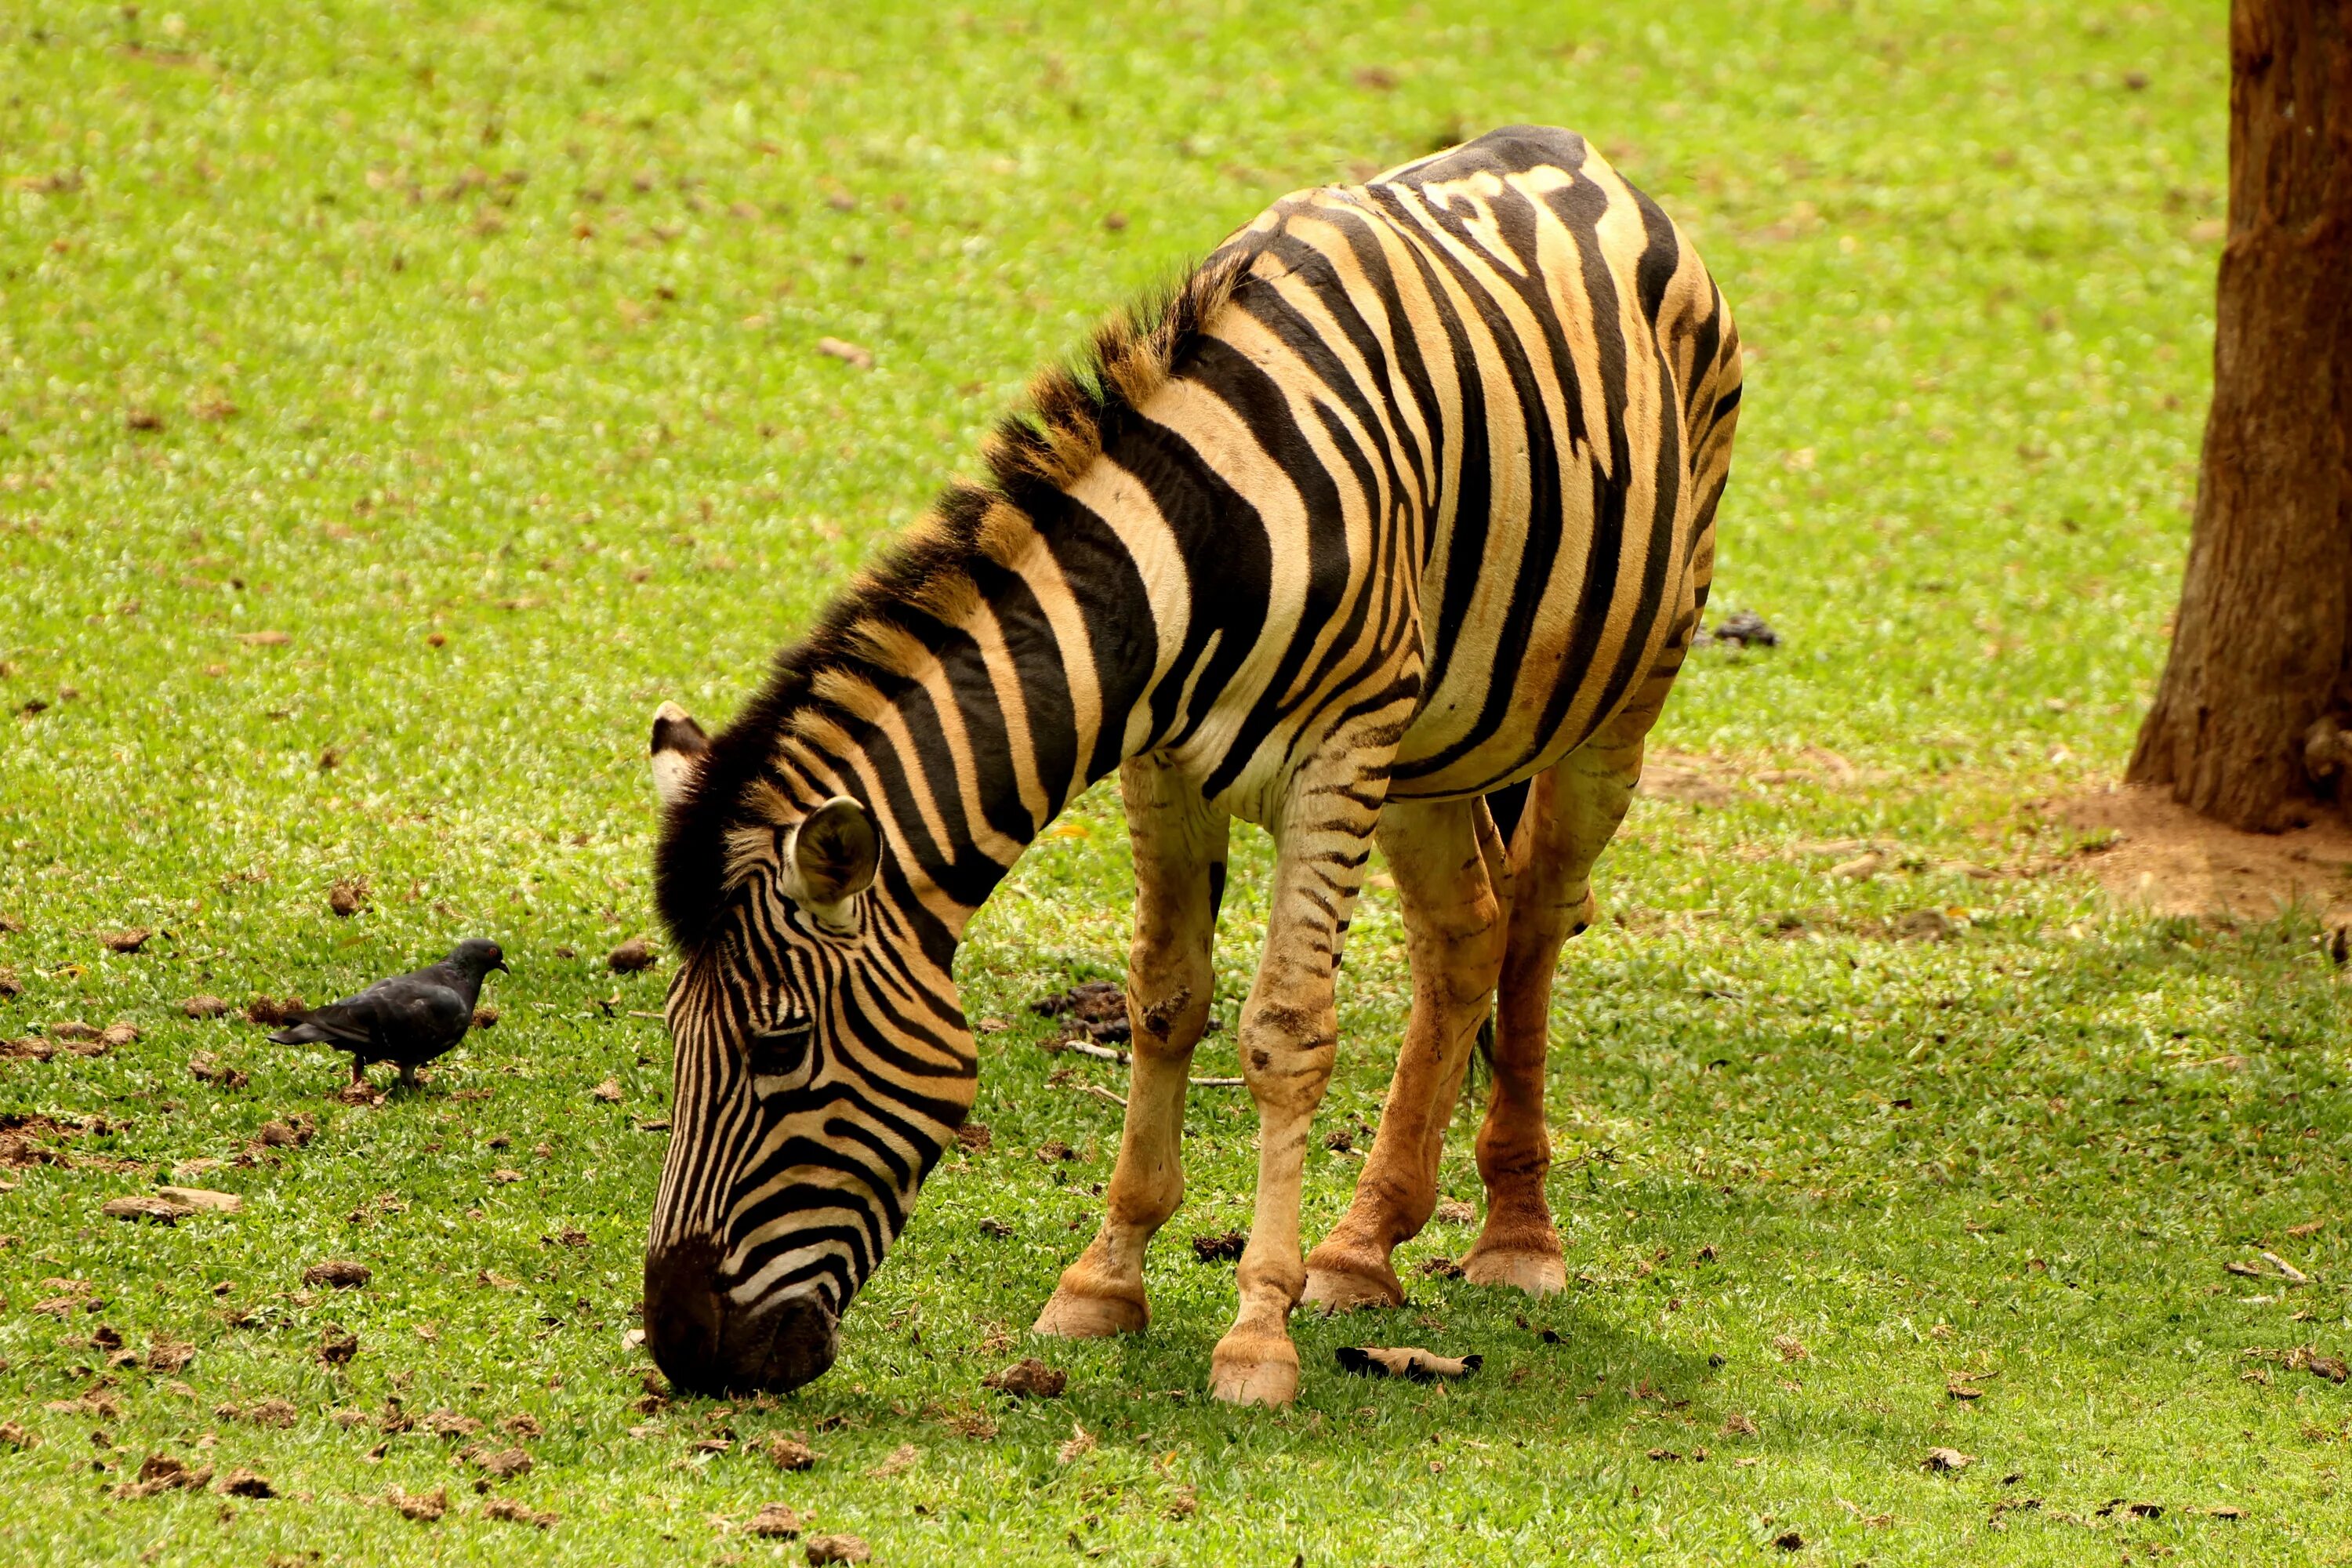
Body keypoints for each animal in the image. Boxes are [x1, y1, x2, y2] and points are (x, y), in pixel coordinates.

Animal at [635, 119, 1740, 1401]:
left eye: (779, 1049)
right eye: (675, 1040)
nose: (683, 1346)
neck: (1196, 544)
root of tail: (1566, 146)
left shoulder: (1336, 759)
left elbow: (1284, 1033)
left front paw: (1257, 1333)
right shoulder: (1161, 767)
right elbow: (1165, 1004)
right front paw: (1104, 1280)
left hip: (1611, 703)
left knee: (1539, 921)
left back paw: (1516, 1234)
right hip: (1434, 744)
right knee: (1465, 932)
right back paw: (1362, 1247)